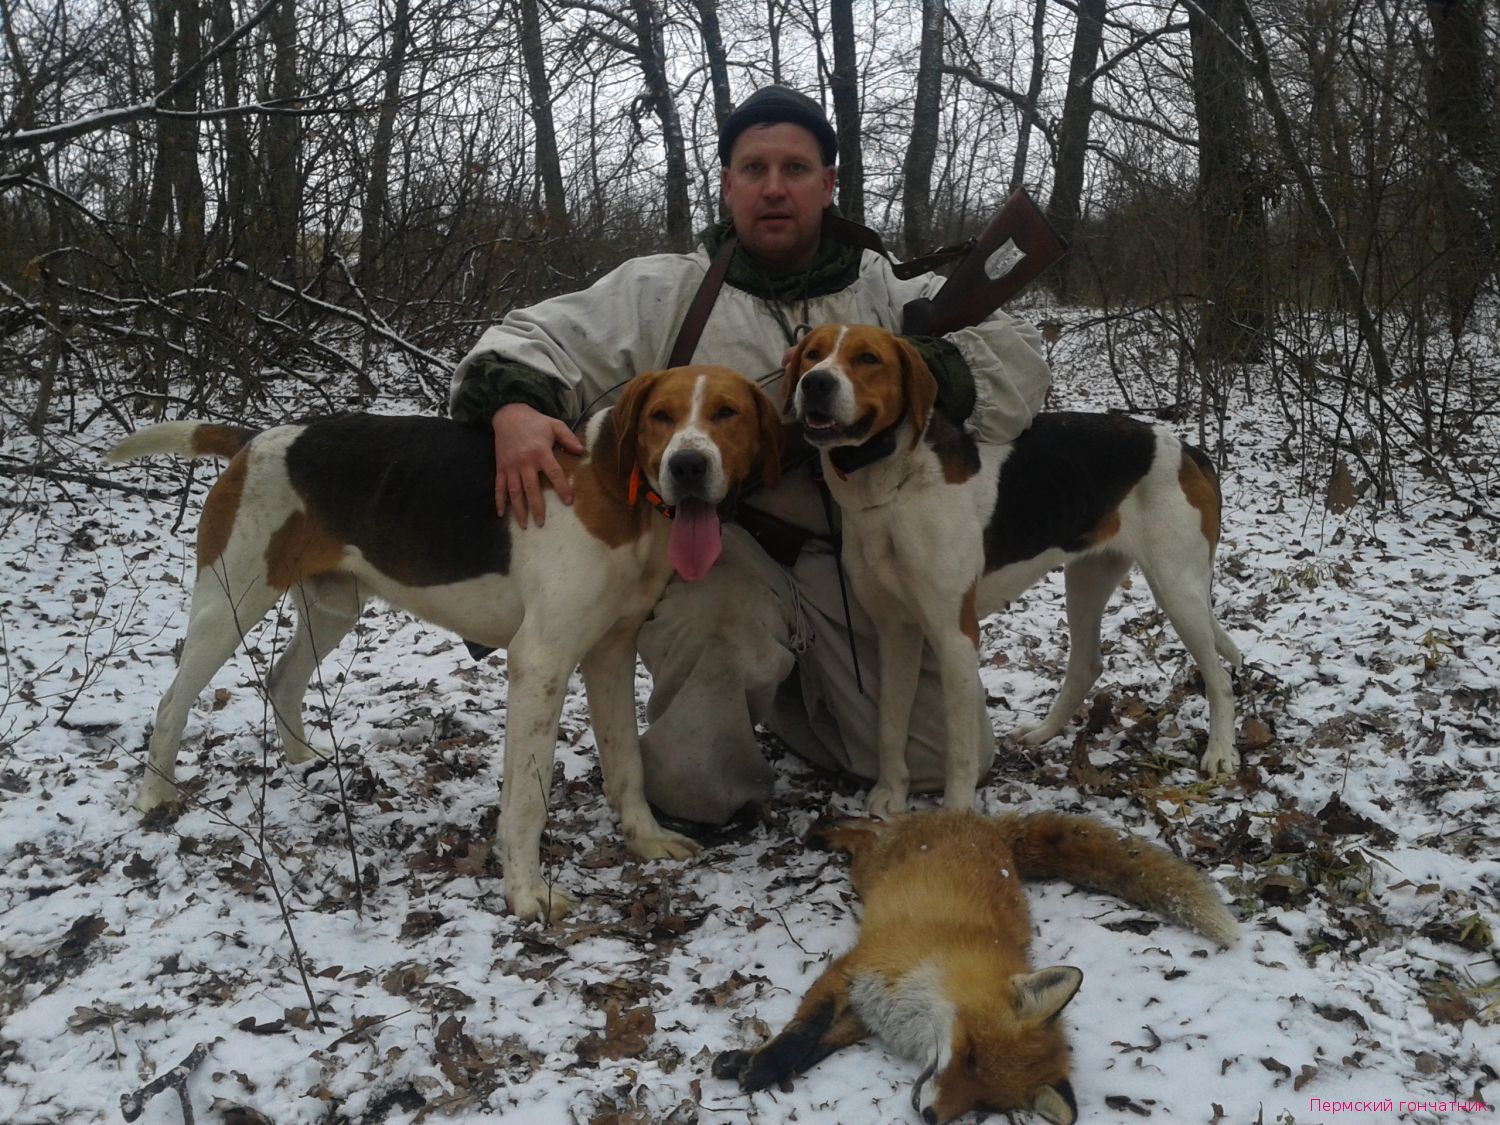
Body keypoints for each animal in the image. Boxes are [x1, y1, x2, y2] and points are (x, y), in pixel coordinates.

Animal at [111, 367, 780, 924]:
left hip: (333, 606)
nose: (687, 467)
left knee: (282, 678)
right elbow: (527, 799)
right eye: (661, 417)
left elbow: (626, 765)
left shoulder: (611, 653)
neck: (620, 492)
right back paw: (154, 796)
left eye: (727, 413)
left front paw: (644, 838)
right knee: (172, 702)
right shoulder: (541, 661)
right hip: (229, 603)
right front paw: (526, 894)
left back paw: (302, 761)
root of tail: (256, 438)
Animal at [717, 810, 1242, 1125]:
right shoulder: (853, 971)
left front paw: (743, 1062)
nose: (931, 1118)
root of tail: (982, 821)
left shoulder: (867, 1014)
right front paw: (764, 1064)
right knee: (867, 831)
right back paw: (825, 828)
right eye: (969, 1057)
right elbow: (804, 1031)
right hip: (866, 869)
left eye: (984, 1102)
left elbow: (819, 1045)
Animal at [786, 325, 1242, 822]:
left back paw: (1221, 752)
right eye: (811, 353)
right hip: (1087, 578)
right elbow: (889, 723)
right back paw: (1042, 733)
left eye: (868, 359)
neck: (891, 491)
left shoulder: (955, 636)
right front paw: (890, 794)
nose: (815, 383)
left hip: (1177, 589)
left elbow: (960, 749)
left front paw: (956, 818)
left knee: (1219, 678)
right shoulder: (895, 632)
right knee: (1086, 664)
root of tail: (1188, 448)